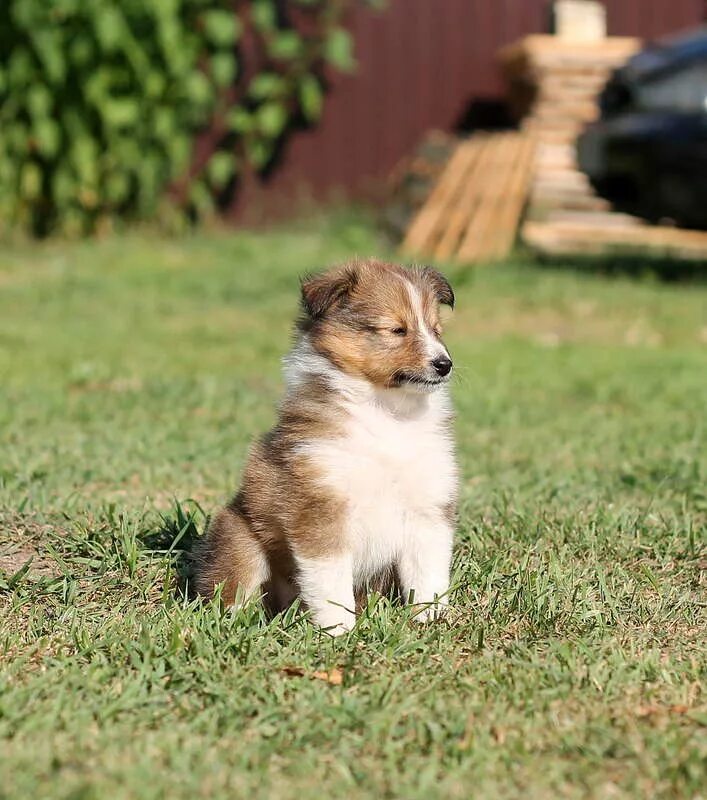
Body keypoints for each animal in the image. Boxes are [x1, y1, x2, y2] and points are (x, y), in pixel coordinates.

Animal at [194, 260, 460, 636]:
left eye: (436, 330)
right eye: (396, 329)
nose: (444, 364)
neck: (387, 413)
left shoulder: (428, 507)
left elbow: (429, 573)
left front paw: (431, 619)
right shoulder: (321, 507)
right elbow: (330, 579)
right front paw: (338, 632)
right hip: (241, 539)